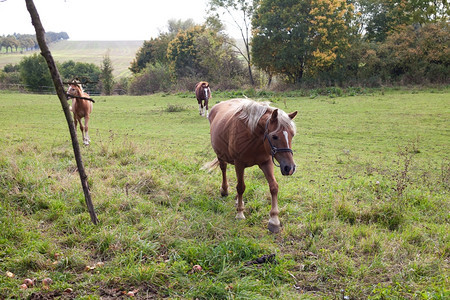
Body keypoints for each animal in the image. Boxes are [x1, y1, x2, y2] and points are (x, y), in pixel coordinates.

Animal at [207, 97, 298, 233]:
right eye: (274, 136)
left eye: (292, 134)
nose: (289, 168)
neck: (253, 135)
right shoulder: (239, 163)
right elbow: (240, 187)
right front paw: (240, 214)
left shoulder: (266, 163)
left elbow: (274, 187)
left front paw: (274, 220)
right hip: (221, 155)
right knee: (223, 169)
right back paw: (224, 190)